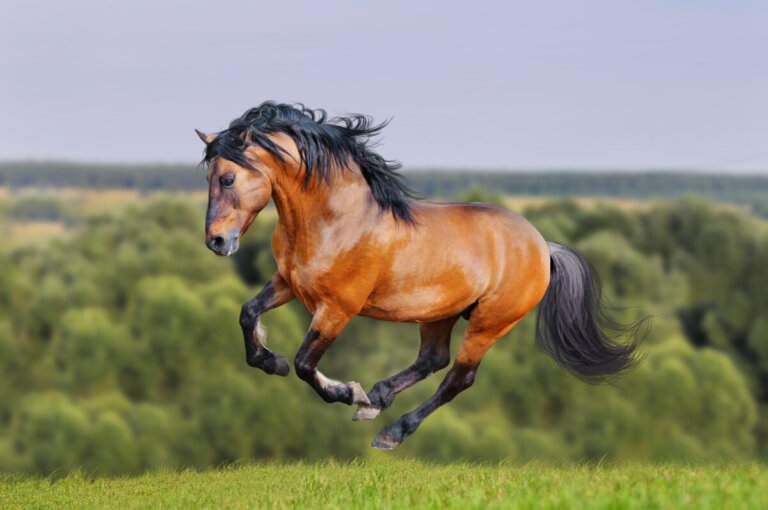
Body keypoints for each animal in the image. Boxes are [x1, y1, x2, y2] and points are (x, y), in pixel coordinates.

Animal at [197, 102, 642, 450]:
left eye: (228, 178)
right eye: (208, 177)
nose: (216, 242)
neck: (334, 219)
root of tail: (542, 246)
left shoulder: (338, 308)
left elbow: (306, 364)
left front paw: (348, 392)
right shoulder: (288, 282)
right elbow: (248, 314)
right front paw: (272, 362)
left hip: (489, 323)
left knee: (458, 378)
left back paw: (390, 429)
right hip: (440, 313)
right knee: (433, 359)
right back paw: (378, 399)